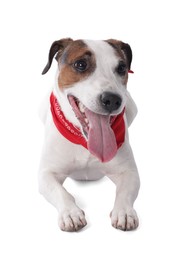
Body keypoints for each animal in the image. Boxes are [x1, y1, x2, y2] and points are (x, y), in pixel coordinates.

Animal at [38, 38, 140, 232]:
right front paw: (71, 213)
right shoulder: (47, 173)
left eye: (121, 68)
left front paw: (124, 212)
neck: (83, 141)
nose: (112, 99)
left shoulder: (128, 171)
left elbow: (124, 191)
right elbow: (61, 192)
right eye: (80, 64)